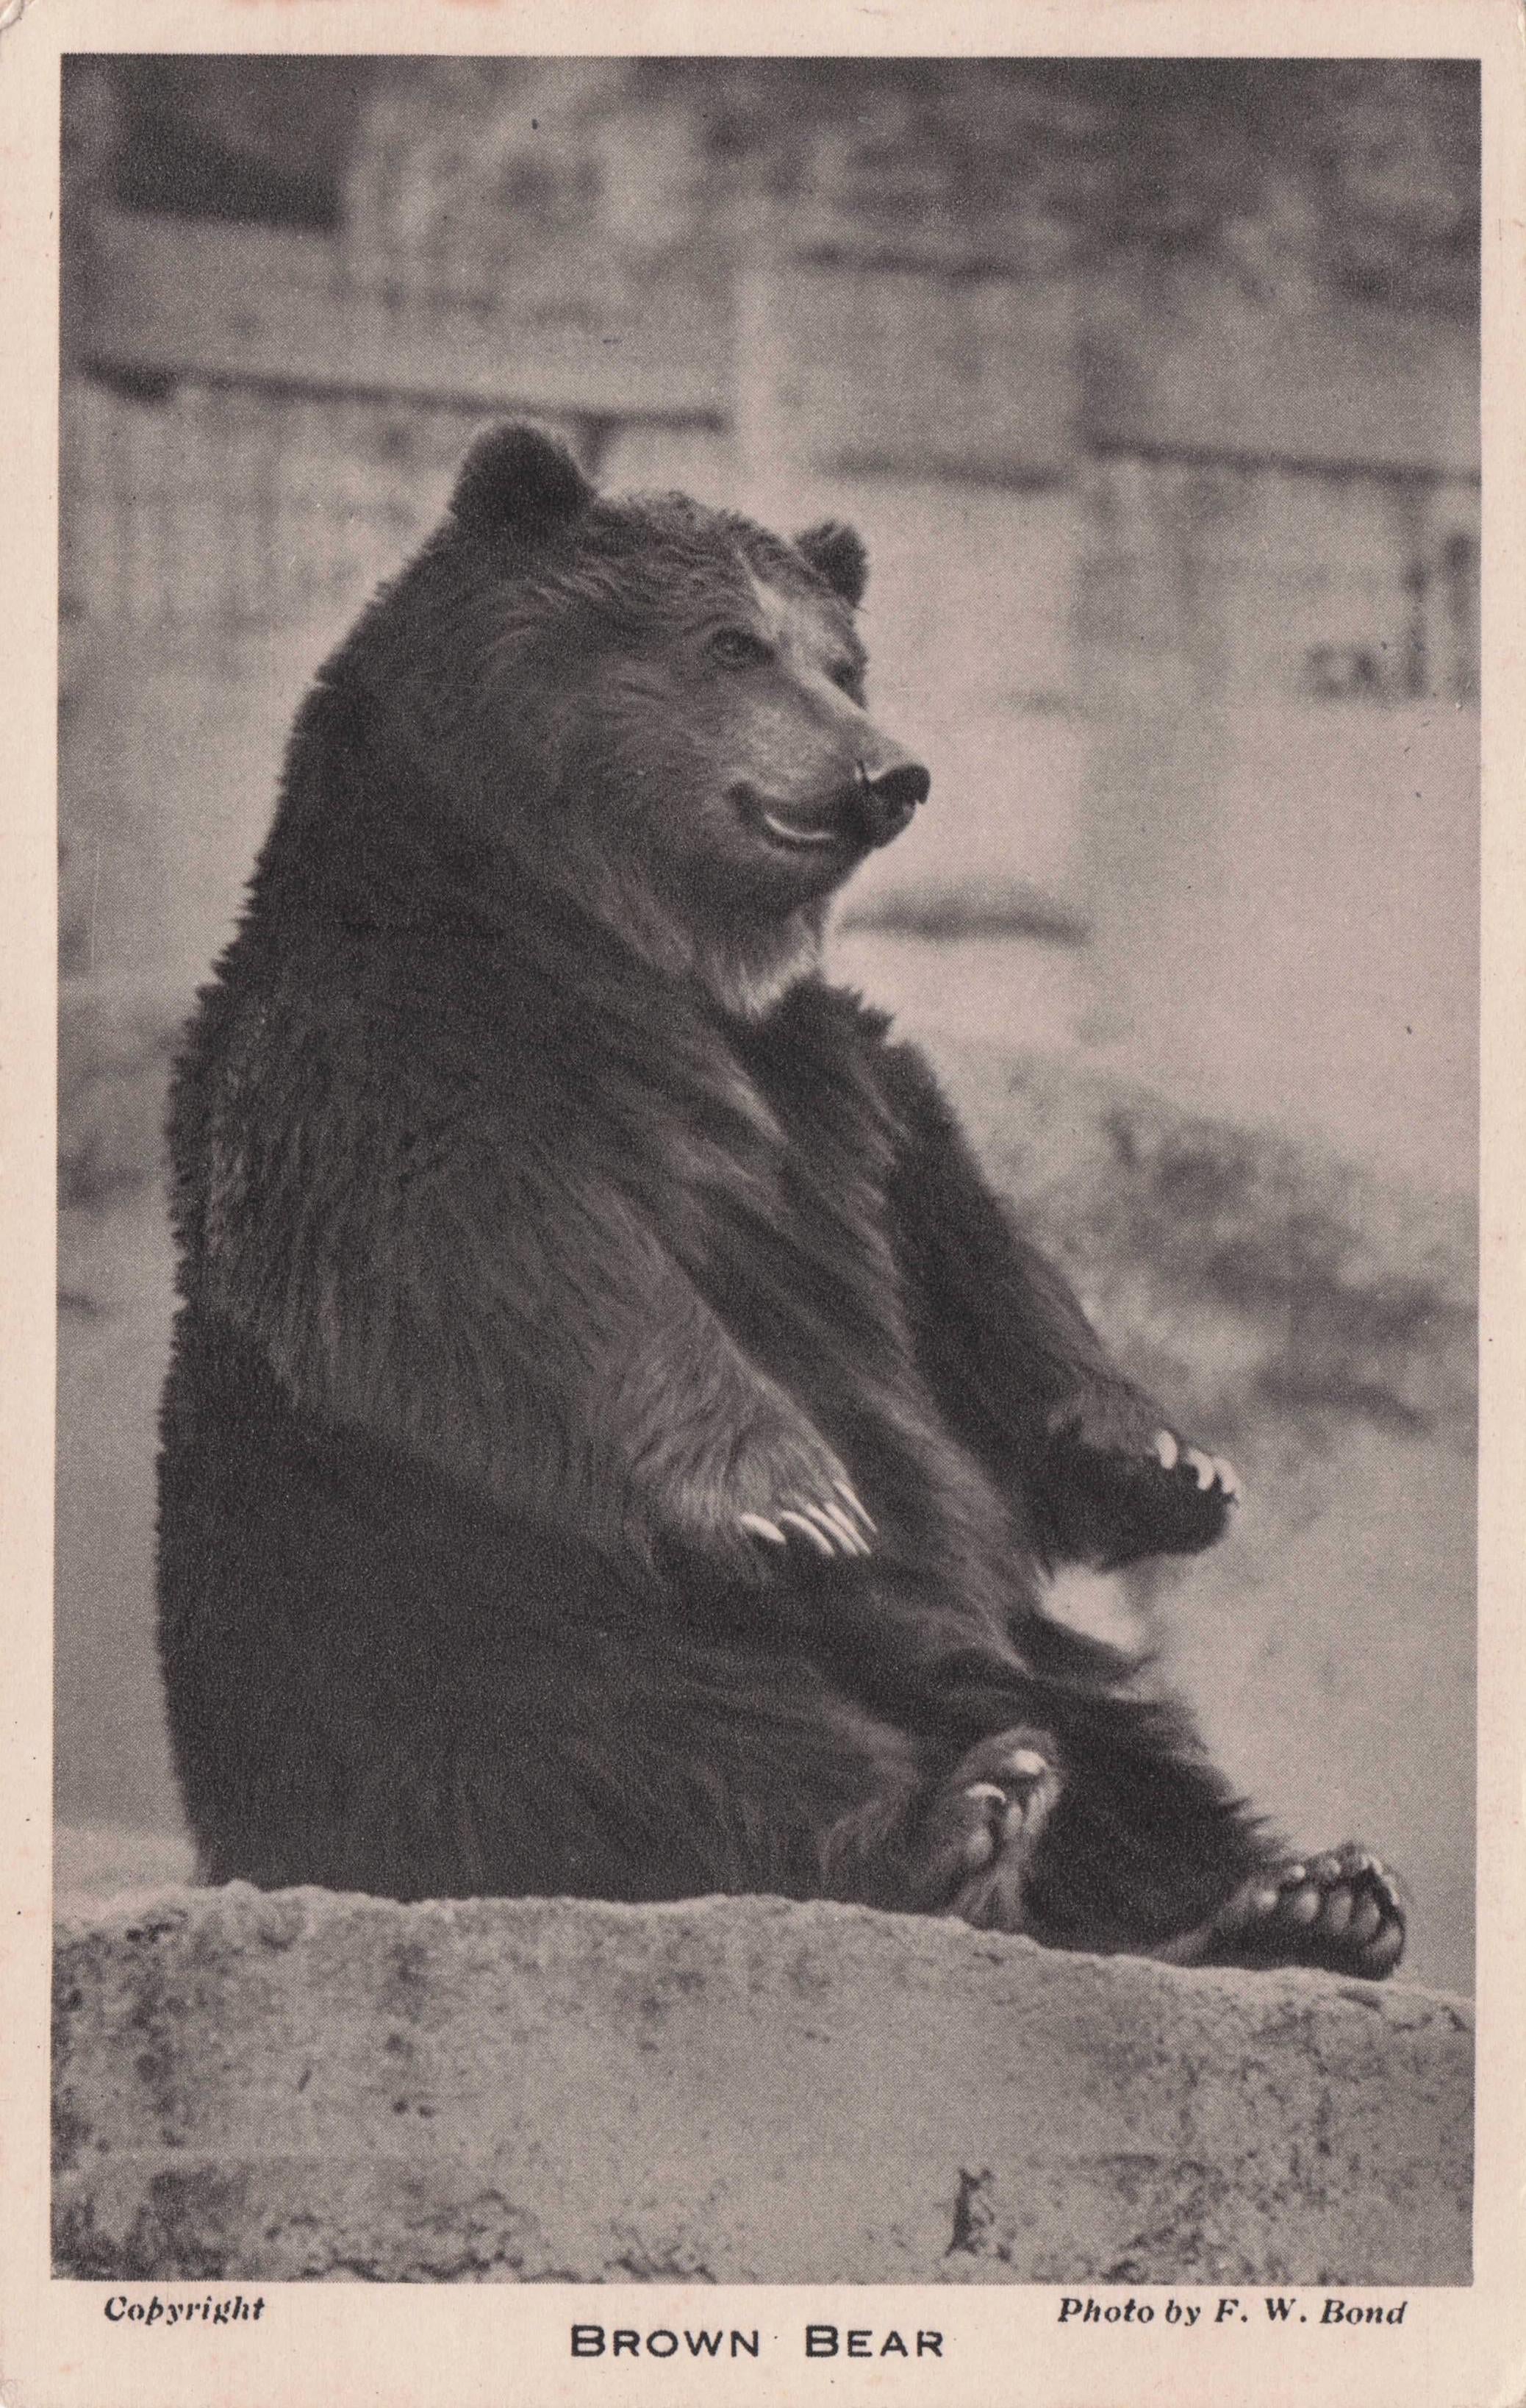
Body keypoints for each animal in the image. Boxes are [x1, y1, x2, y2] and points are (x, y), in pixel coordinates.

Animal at [156, 421, 1404, 1979]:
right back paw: (958, 1824)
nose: (889, 773)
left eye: (845, 662)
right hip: (424, 1619)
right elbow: (498, 1240)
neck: (628, 935)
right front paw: (792, 1497)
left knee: (1119, 1732)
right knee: (641, 1734)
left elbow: (970, 1265)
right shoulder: (384, 1046)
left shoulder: (840, 1089)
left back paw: (1290, 1896)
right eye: (731, 644)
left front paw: (1169, 1461)